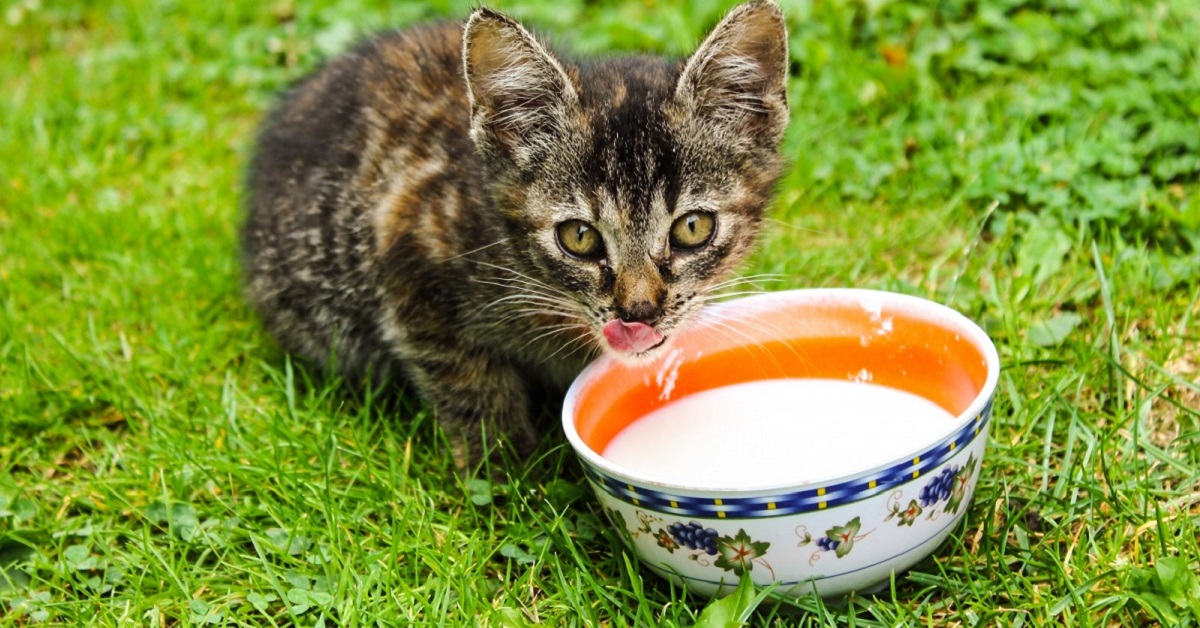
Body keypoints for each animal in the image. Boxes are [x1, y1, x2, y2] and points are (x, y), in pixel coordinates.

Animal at [240, 0, 792, 468]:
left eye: (692, 228)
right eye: (579, 237)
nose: (638, 312)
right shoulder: (409, 250)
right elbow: (467, 379)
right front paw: (507, 469)